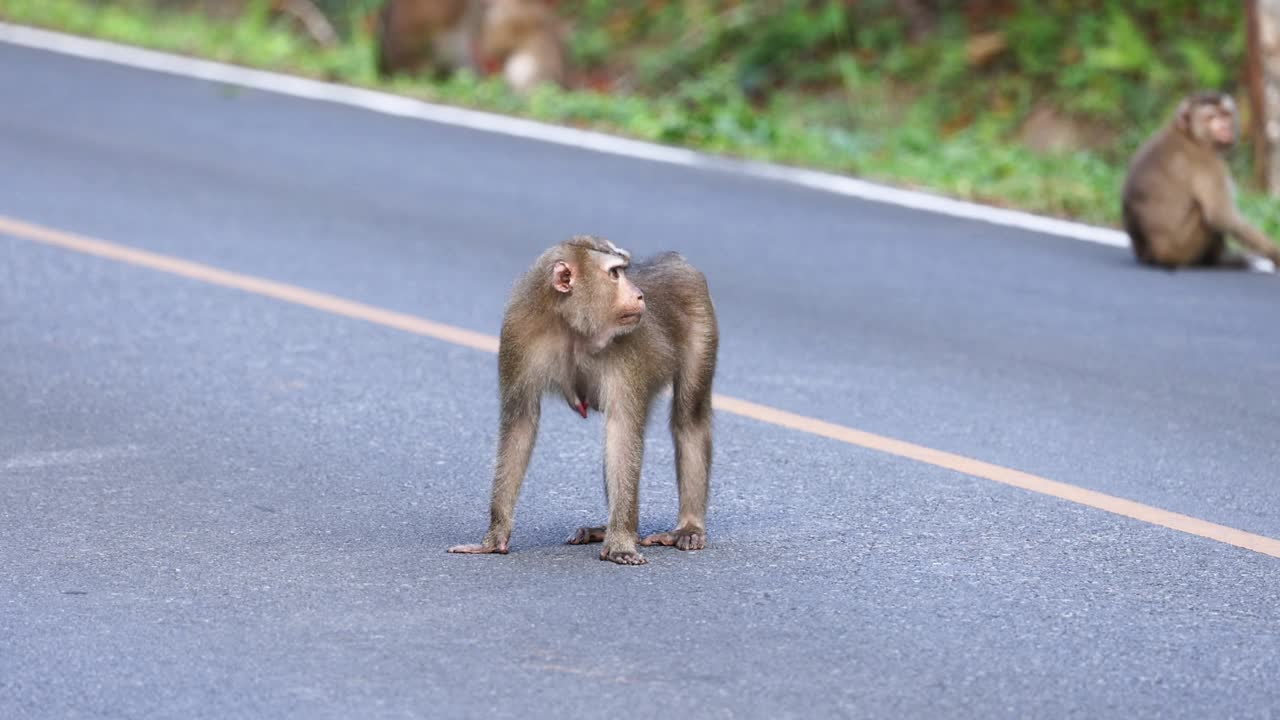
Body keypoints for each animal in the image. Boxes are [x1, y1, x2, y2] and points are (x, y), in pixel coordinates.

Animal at [448, 234, 721, 561]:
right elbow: (520, 424)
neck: (571, 324)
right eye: (615, 274)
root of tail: (673, 260)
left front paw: (620, 542)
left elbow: (622, 430)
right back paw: (607, 528)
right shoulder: (518, 332)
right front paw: (494, 535)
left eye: (624, 270)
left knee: (689, 415)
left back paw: (686, 527)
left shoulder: (624, 350)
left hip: (700, 316)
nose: (640, 295)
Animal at [1121, 90, 1280, 269]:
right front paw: (1274, 252)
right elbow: (1220, 215)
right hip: (1182, 250)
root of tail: (1150, 256)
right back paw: (1218, 260)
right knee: (1205, 217)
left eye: (1225, 114)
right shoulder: (1209, 162)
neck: (1189, 135)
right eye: (1211, 118)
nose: (1224, 127)